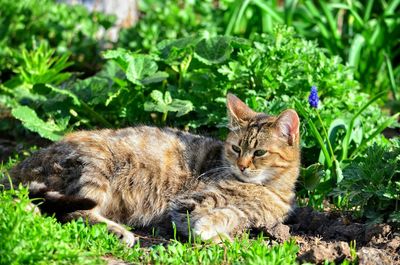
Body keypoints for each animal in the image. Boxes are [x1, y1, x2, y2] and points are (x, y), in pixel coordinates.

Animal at [3, 93, 300, 245]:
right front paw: (215, 237)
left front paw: (217, 231)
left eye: (259, 152)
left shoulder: (245, 213)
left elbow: (228, 216)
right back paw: (120, 232)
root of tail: (17, 166)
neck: (268, 188)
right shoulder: (188, 201)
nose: (241, 165)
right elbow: (196, 220)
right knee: (75, 212)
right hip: (94, 169)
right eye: (236, 148)